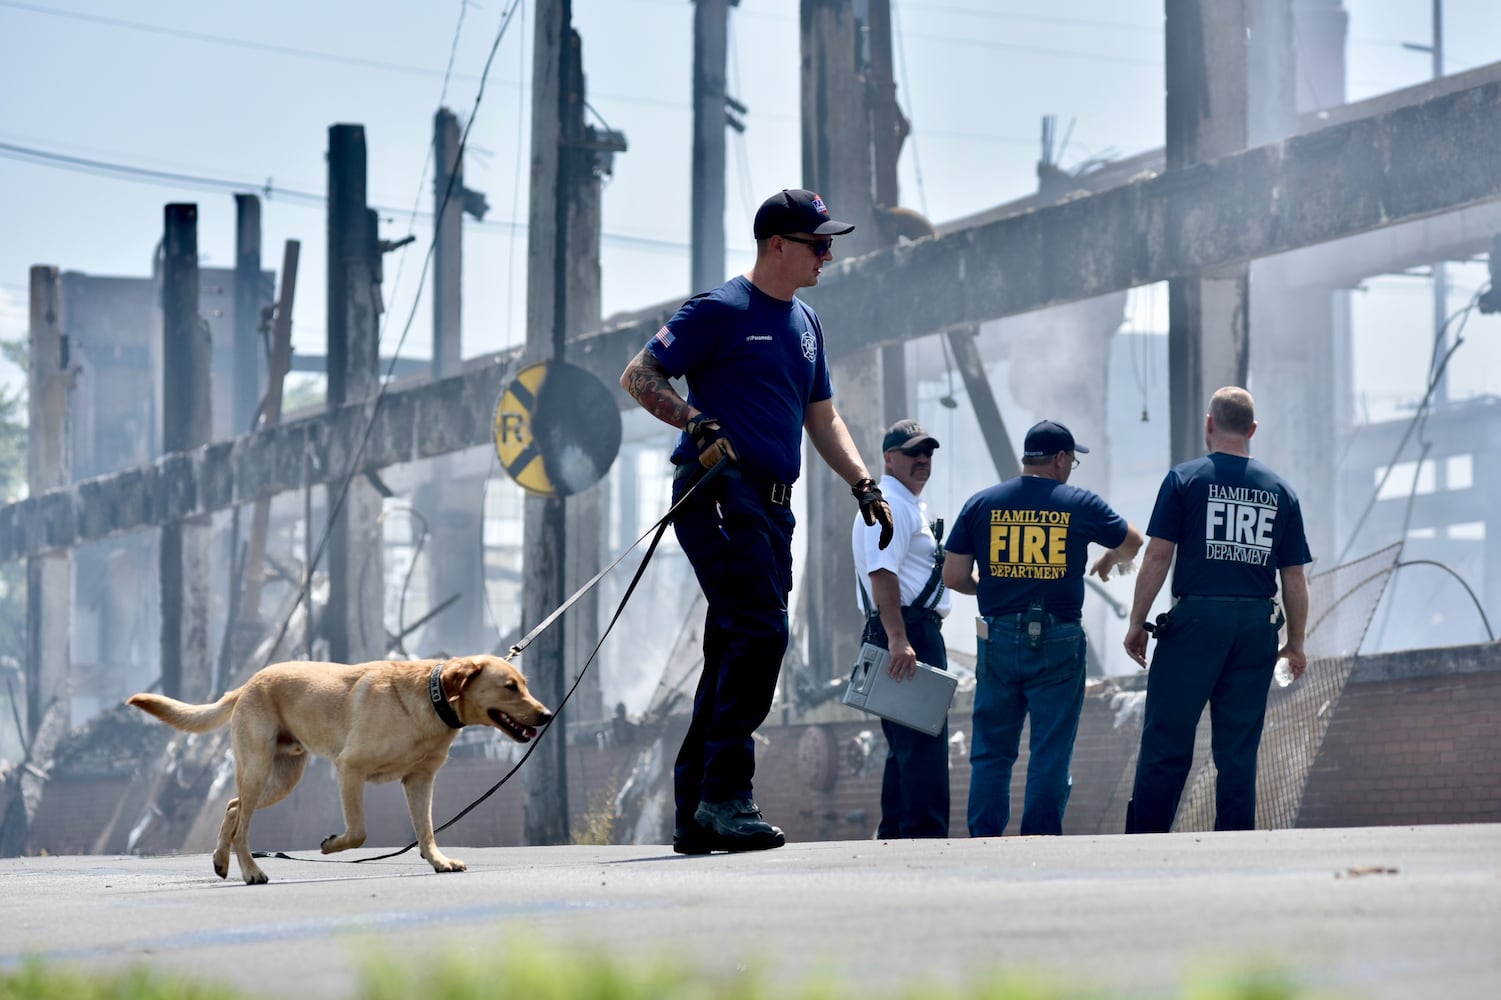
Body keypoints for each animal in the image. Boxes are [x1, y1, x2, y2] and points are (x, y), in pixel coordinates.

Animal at [127, 654, 552, 882]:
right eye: (510, 687)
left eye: (525, 683)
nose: (547, 715)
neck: (430, 699)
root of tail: (249, 683)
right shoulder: (350, 770)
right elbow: (359, 833)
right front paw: (331, 846)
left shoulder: (419, 780)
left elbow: (426, 830)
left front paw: (438, 861)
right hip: (259, 769)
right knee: (243, 824)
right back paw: (250, 871)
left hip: (281, 778)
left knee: (233, 807)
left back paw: (220, 860)